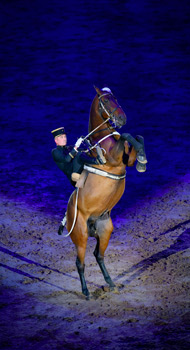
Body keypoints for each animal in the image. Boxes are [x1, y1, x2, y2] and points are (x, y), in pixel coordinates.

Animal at [66, 85, 146, 298]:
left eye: (115, 97)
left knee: (98, 255)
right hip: (81, 236)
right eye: (106, 101)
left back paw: (110, 283)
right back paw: (86, 292)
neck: (102, 140)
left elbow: (137, 138)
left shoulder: (127, 160)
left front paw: (142, 160)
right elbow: (128, 135)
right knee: (80, 263)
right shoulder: (115, 159)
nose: (122, 119)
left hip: (105, 230)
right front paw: (142, 159)